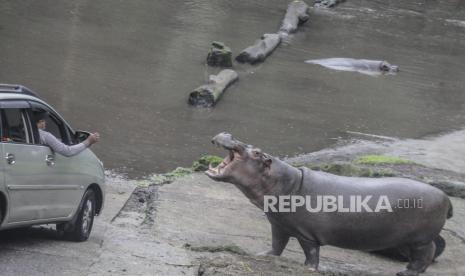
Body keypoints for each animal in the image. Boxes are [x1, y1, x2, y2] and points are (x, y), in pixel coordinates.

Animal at [207, 133, 454, 274]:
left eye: (257, 152)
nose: (227, 134)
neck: (287, 182)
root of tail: (446, 197)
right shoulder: (279, 224)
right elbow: (277, 244)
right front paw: (263, 255)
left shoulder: (306, 233)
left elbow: (311, 252)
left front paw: (308, 268)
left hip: (421, 239)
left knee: (427, 253)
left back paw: (406, 272)